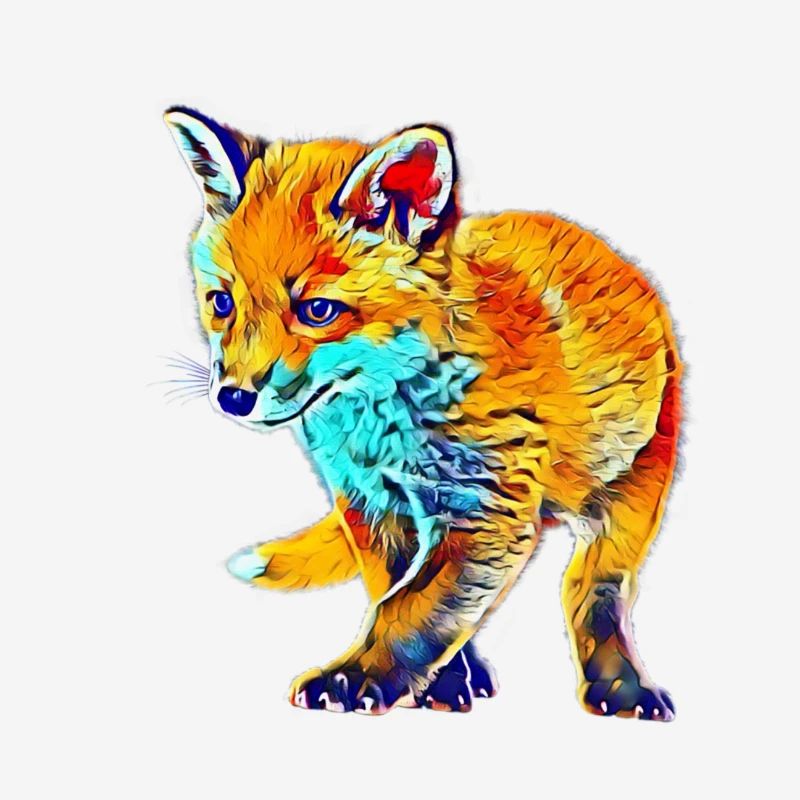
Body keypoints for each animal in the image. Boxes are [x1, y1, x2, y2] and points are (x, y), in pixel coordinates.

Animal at [164, 107, 683, 720]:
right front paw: (446, 682)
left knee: (594, 586)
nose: (233, 397)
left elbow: (409, 611)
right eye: (222, 303)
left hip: (631, 494)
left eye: (317, 311)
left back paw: (621, 684)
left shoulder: (487, 509)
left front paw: (353, 678)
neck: (384, 425)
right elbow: (403, 597)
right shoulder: (371, 506)